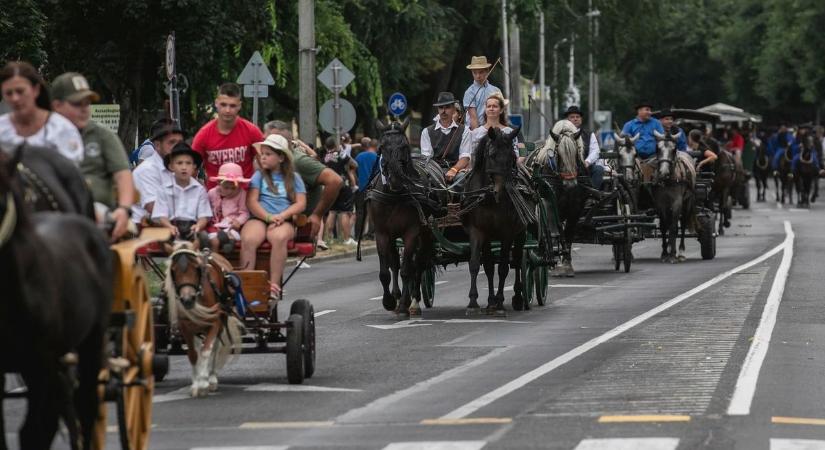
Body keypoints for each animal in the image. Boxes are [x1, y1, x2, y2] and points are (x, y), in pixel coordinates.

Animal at [163, 243, 241, 398]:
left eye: (197, 268)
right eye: (173, 270)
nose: (187, 299)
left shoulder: (214, 323)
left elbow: (207, 351)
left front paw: (204, 383)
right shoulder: (185, 327)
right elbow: (193, 354)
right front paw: (196, 384)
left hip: (220, 321)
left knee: (214, 347)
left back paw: (211, 378)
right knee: (200, 346)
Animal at [360, 118, 438, 318]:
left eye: (404, 146)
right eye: (381, 147)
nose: (395, 178)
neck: (394, 195)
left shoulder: (411, 232)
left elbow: (407, 269)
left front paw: (404, 303)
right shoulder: (382, 233)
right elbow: (386, 270)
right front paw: (389, 300)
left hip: (426, 232)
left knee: (419, 263)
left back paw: (414, 301)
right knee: (396, 262)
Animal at [460, 125, 532, 314]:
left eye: (512, 157)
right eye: (491, 155)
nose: (502, 190)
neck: (489, 198)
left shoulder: (507, 234)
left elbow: (503, 267)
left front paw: (499, 303)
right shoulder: (478, 231)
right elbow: (479, 264)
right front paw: (474, 302)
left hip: (521, 233)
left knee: (517, 261)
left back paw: (518, 297)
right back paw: (490, 301)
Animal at [652, 130, 696, 262]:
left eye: (674, 149)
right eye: (657, 148)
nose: (663, 172)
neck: (668, 180)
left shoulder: (677, 202)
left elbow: (673, 227)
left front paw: (672, 254)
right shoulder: (661, 204)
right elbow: (664, 226)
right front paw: (665, 252)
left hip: (687, 202)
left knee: (683, 224)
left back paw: (680, 251)